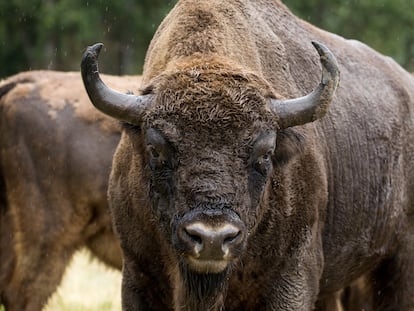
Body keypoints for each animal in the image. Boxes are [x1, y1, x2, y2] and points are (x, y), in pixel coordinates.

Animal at [81, 0, 414, 310]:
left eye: (265, 153)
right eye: (155, 149)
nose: (213, 238)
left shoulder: (292, 276)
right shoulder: (137, 275)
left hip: (399, 260)